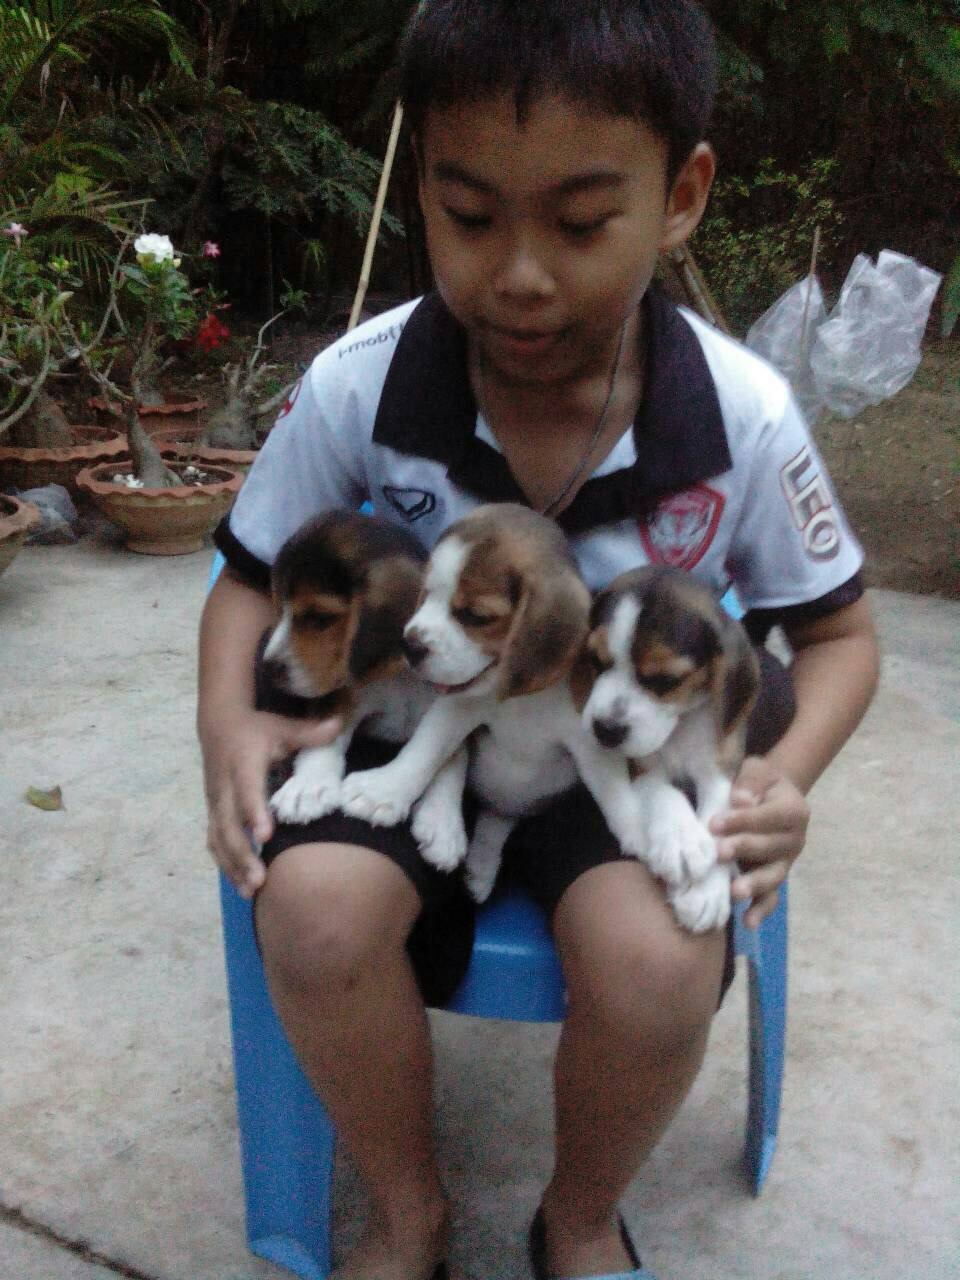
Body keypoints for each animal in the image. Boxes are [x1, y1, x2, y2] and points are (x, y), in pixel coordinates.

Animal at [259, 509, 468, 870]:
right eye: (279, 607)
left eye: (320, 618)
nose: (269, 668)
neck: (402, 677)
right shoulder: (341, 695)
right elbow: (326, 733)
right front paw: (307, 788)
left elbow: (450, 759)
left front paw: (444, 826)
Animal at [338, 504, 649, 901]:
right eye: (427, 593)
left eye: (476, 616)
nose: (409, 645)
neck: (521, 698)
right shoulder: (458, 709)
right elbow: (426, 749)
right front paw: (383, 792)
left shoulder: (589, 737)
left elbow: (613, 788)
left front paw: (647, 830)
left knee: (498, 818)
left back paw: (481, 866)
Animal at [578, 566, 761, 931]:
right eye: (595, 660)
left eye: (664, 681)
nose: (605, 730)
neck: (681, 724)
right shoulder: (640, 764)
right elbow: (665, 792)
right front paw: (681, 840)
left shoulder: (722, 765)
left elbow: (719, 817)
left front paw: (707, 892)